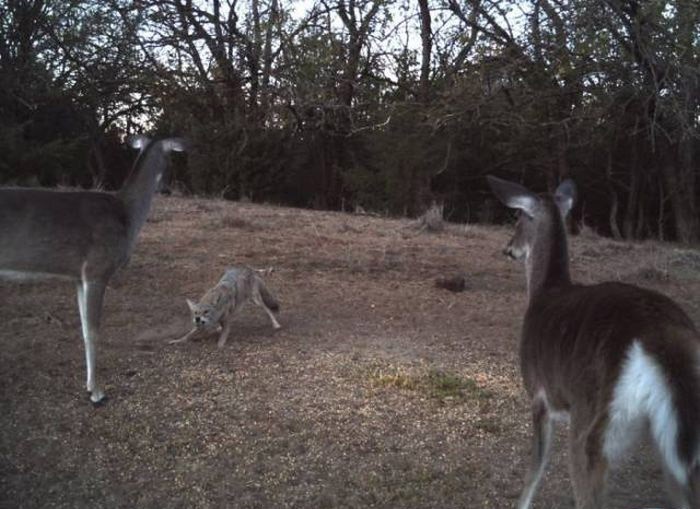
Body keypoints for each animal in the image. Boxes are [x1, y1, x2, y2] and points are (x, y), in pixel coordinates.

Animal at [0, 135, 185, 404]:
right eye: (171, 161)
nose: (169, 189)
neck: (126, 215)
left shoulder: (79, 276)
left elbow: (84, 329)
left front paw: (89, 385)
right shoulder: (97, 269)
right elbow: (94, 331)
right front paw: (97, 393)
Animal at [486, 176, 700, 508]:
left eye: (518, 217)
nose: (508, 249)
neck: (545, 291)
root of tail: (660, 338)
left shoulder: (539, 392)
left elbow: (535, 468)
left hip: (593, 420)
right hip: (676, 441)